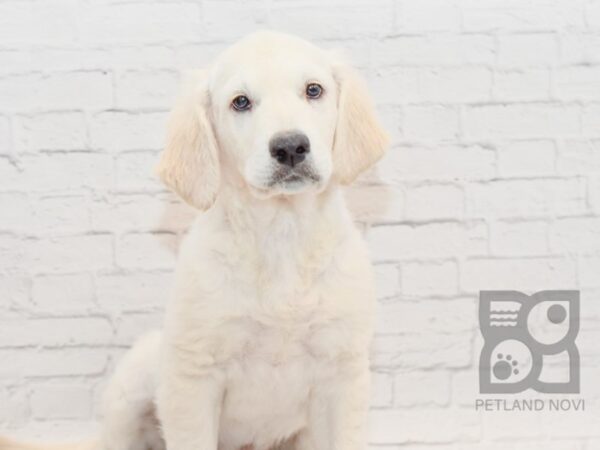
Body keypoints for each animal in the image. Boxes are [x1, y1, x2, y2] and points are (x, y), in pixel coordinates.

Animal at [0, 30, 390, 450]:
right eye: (240, 102)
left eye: (313, 90)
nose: (290, 147)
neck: (280, 233)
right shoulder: (192, 378)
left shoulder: (343, 374)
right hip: (134, 382)